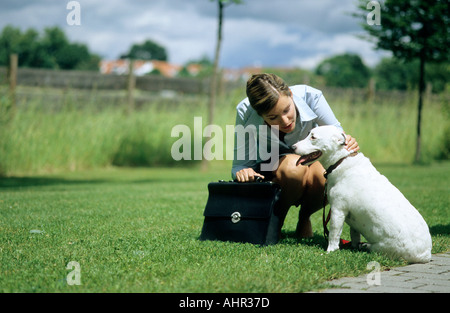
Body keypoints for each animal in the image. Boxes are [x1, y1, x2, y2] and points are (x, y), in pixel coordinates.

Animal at [292, 125, 432, 262]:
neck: (341, 160)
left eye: (313, 137)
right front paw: (352, 246)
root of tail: (425, 254)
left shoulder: (338, 211)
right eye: (308, 134)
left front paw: (330, 251)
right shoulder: (352, 220)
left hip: (380, 247)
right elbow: (354, 234)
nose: (292, 147)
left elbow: (333, 234)